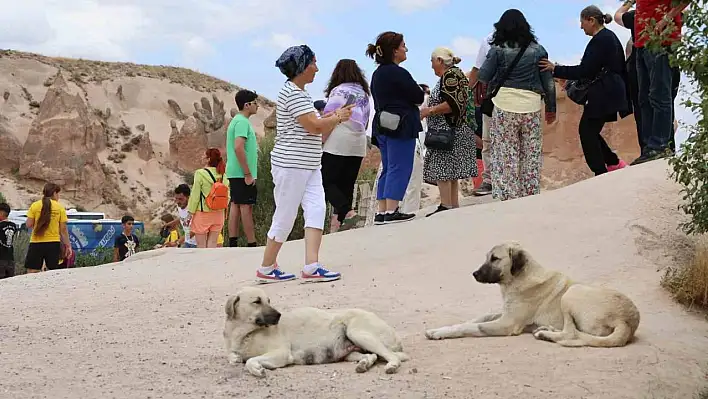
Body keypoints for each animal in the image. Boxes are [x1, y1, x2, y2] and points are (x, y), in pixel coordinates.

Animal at [221, 288, 410, 378]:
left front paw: (257, 369)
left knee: (392, 356)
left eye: (268, 301)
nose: (279, 316)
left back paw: (391, 366)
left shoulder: (281, 353)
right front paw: (236, 358)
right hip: (350, 351)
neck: (245, 333)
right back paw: (363, 364)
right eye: (257, 301)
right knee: (372, 356)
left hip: (357, 333)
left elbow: (250, 361)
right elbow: (233, 357)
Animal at [426, 242, 640, 348]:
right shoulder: (505, 313)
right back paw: (546, 330)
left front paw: (440, 333)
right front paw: (442, 328)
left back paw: (546, 334)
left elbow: (470, 327)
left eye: (495, 259)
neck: (518, 279)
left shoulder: (507, 323)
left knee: (571, 334)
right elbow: (476, 318)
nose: (474, 274)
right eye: (487, 257)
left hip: (571, 293)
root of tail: (628, 322)